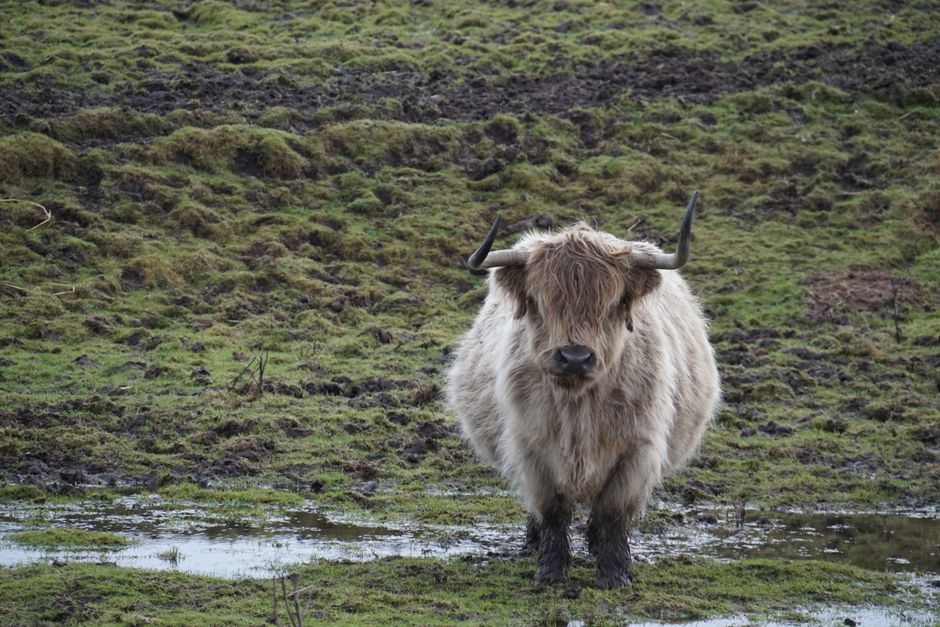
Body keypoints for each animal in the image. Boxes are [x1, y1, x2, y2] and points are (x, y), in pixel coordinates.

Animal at [445, 193, 721, 588]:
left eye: (612, 304)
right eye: (540, 302)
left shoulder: (636, 452)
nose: (574, 357)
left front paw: (615, 573)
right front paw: (550, 571)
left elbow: (612, 513)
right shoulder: (532, 450)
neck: (579, 405)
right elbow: (552, 511)